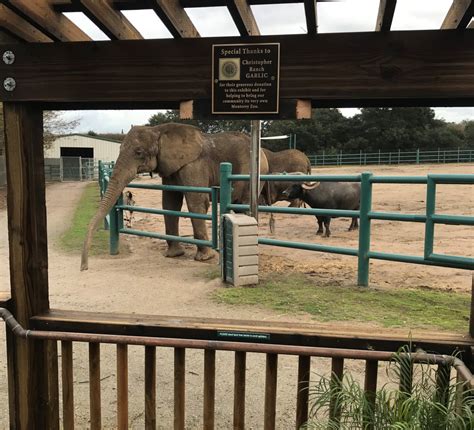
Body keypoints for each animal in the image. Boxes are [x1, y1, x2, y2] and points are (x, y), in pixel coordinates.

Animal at [79, 122, 268, 268]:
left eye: (139, 152)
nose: (84, 268)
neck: (158, 130)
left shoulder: (194, 164)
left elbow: (196, 201)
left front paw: (204, 258)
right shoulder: (170, 167)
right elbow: (170, 203)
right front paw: (174, 255)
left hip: (252, 174)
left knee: (242, 205)